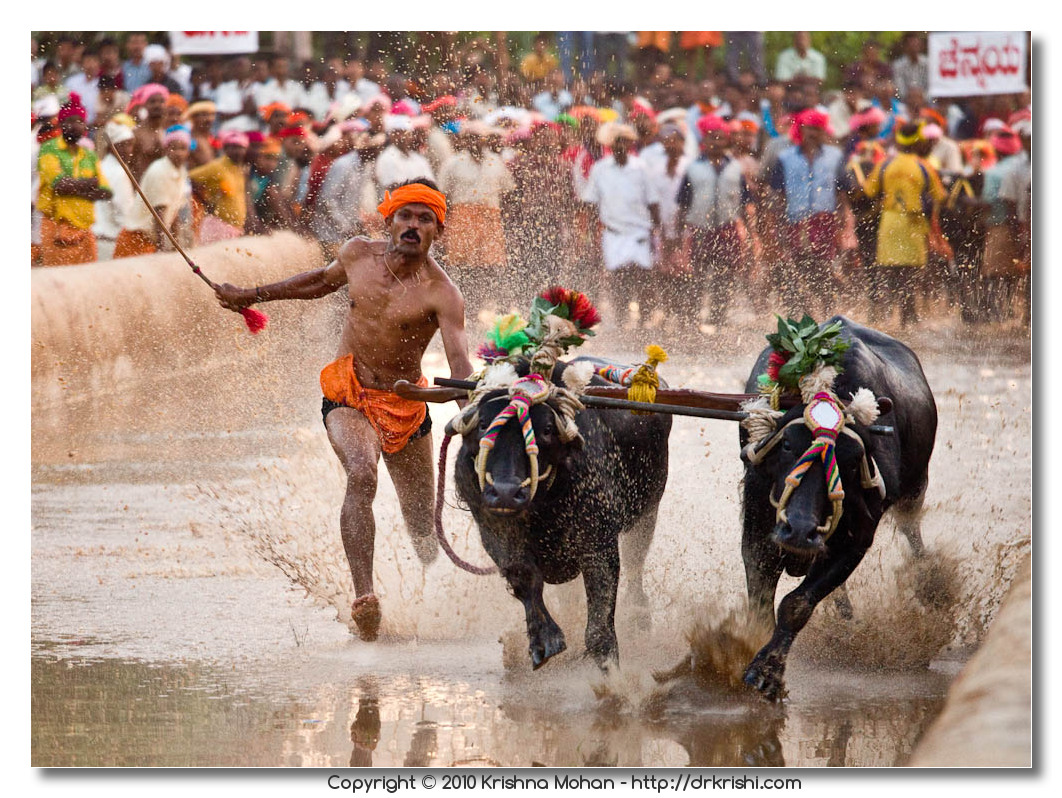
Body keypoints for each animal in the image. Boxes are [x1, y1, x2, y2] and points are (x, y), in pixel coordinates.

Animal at [448, 354, 671, 667]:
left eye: (547, 430)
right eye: (482, 424)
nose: (506, 492)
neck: (543, 502)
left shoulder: (599, 545)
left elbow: (599, 629)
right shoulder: (494, 532)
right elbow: (525, 579)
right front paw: (544, 639)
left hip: (648, 512)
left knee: (635, 563)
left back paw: (640, 618)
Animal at [739, 314, 938, 701]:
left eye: (851, 459)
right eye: (787, 444)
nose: (799, 531)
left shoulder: (857, 540)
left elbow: (797, 604)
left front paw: (767, 673)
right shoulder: (757, 528)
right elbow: (761, 603)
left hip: (916, 487)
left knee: (913, 531)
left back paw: (932, 584)